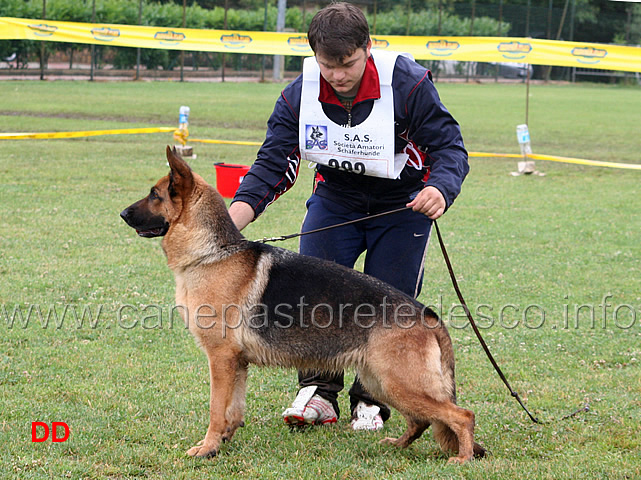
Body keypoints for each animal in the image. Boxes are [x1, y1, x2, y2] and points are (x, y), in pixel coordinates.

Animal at [120, 147, 482, 464]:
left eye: (154, 195)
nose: (122, 214)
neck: (212, 252)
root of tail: (428, 315)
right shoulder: (237, 364)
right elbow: (232, 410)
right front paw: (223, 441)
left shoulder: (220, 360)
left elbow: (215, 409)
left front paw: (207, 447)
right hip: (380, 380)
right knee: (422, 420)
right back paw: (397, 445)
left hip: (396, 382)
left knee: (461, 415)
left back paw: (462, 458)